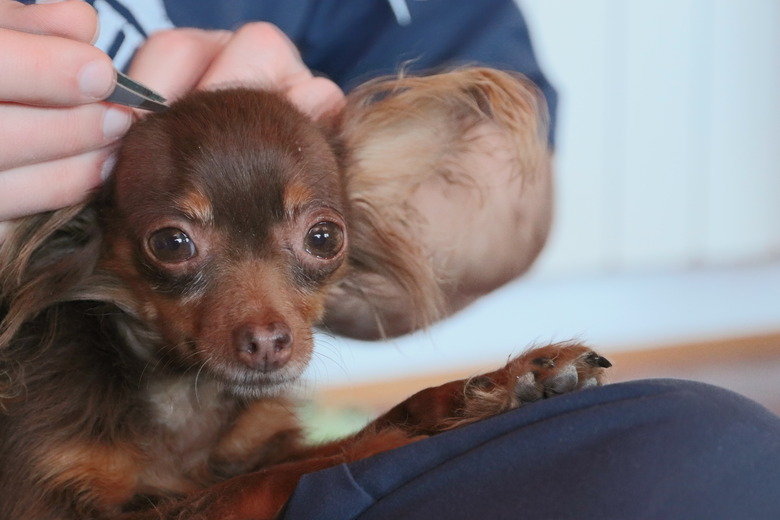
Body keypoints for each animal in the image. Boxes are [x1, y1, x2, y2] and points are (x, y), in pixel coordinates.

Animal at [0, 70, 608, 520]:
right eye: (172, 243)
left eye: (324, 238)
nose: (269, 342)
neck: (180, 393)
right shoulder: (56, 505)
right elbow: (261, 481)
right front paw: (377, 452)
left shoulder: (253, 446)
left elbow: (370, 421)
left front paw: (494, 386)